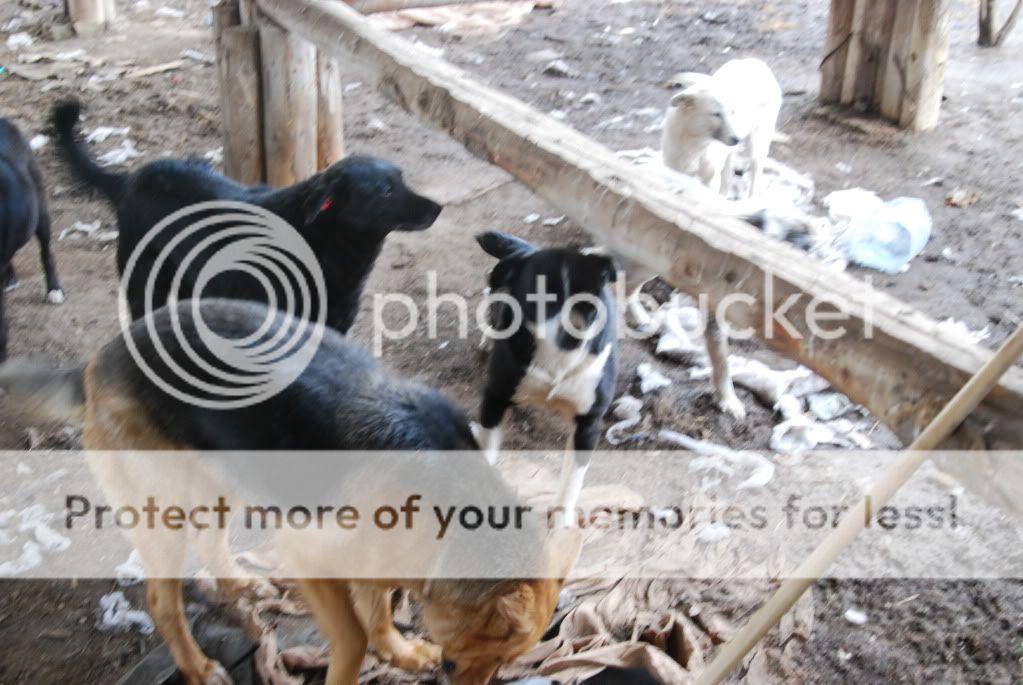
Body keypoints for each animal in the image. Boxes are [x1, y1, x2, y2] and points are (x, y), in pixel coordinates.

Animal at [658, 58, 777, 198]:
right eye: (716, 114)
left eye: (732, 112)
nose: (737, 139)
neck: (694, 141)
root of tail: (756, 61)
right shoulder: (674, 169)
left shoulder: (709, 178)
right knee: (728, 172)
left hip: (757, 141)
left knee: (756, 169)